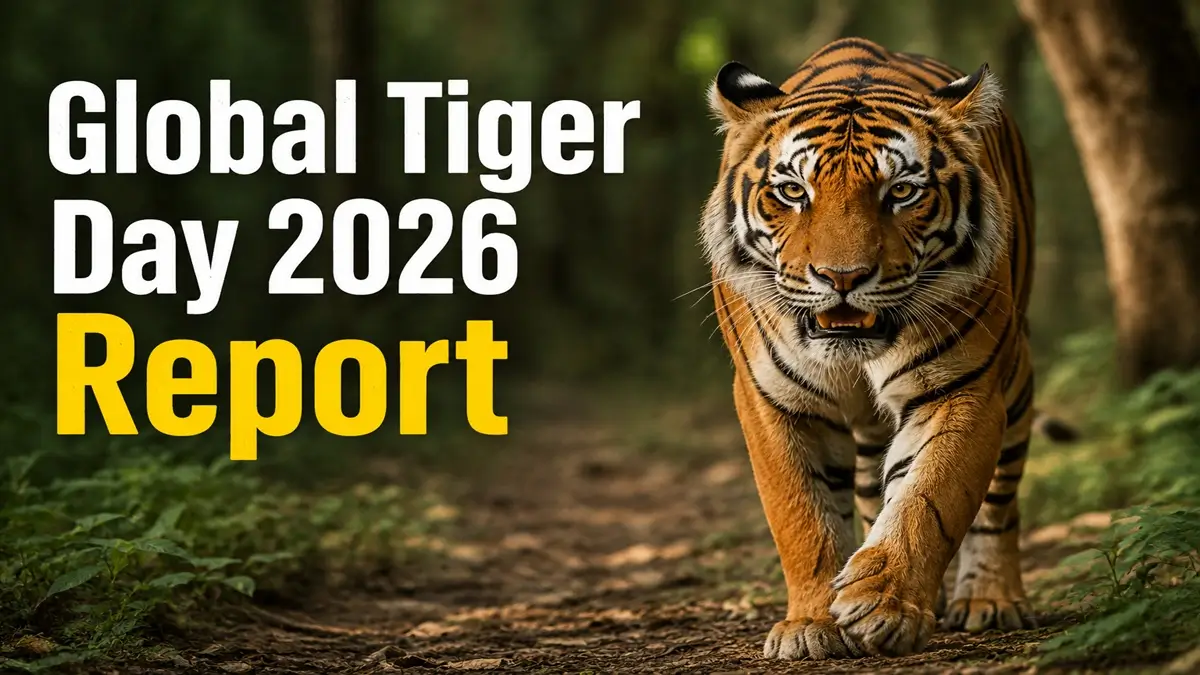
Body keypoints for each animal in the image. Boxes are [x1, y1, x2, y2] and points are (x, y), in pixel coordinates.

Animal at [701, 37, 1074, 660]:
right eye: (793, 191)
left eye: (901, 192)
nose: (842, 277)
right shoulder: (771, 398)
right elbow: (803, 515)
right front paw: (811, 624)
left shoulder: (963, 388)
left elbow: (929, 497)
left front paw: (884, 604)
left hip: (1016, 377)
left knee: (999, 502)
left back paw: (989, 599)